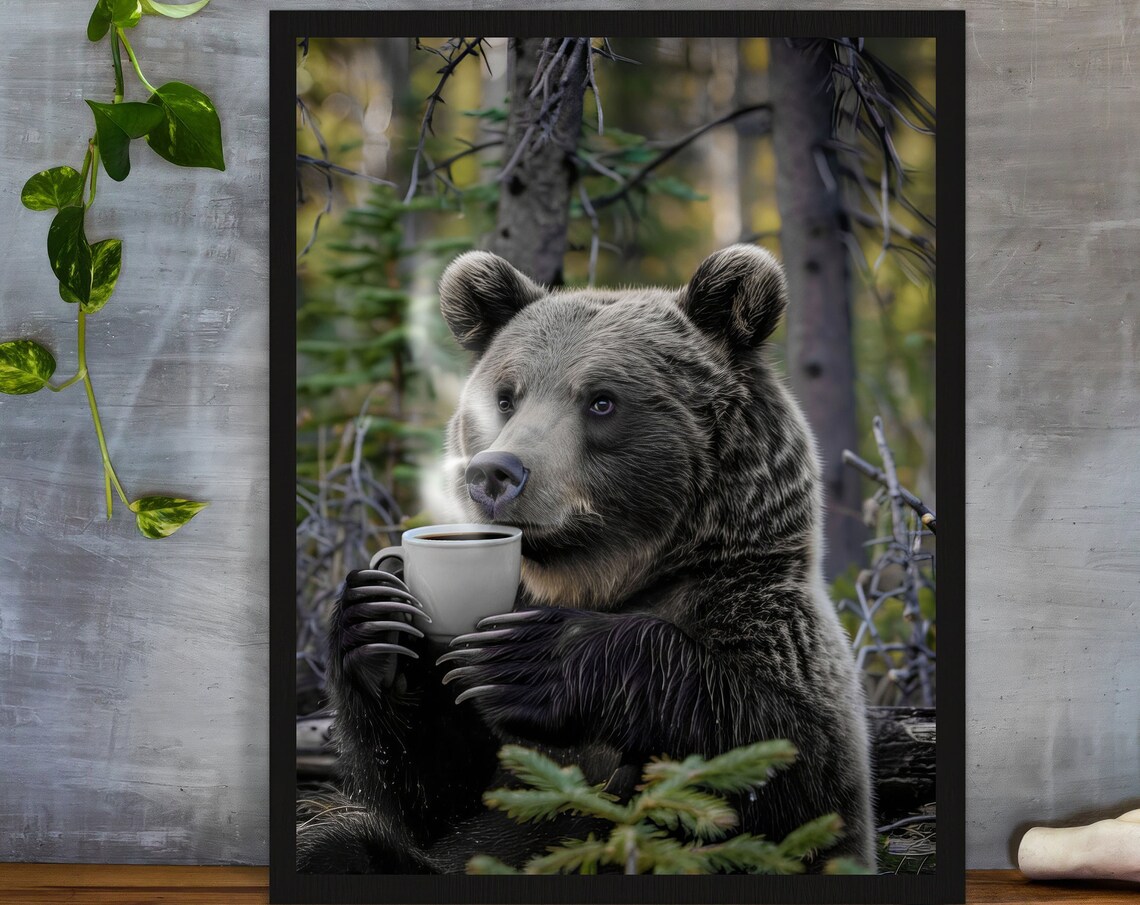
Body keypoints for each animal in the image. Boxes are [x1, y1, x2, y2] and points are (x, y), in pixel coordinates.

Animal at [296, 244, 874, 874]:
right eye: (506, 397)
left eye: (601, 401)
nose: (493, 473)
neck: (598, 577)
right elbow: (440, 792)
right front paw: (377, 621)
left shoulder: (762, 616)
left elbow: (784, 762)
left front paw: (533, 656)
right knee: (345, 848)